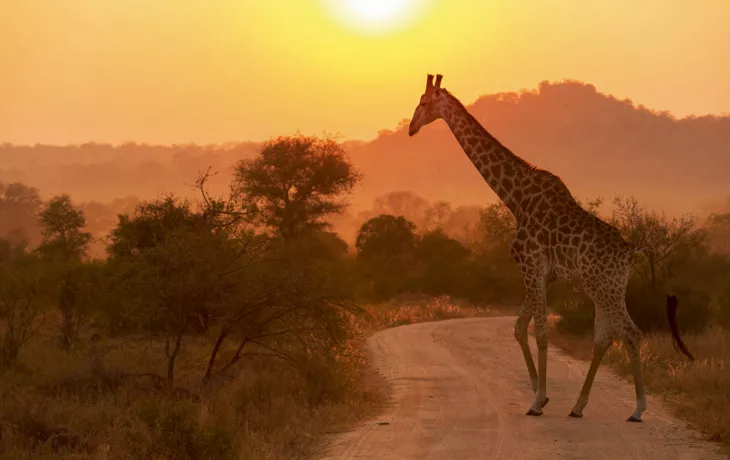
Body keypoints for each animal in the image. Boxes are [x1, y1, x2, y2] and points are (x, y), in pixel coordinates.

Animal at [407, 74, 694, 421]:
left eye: (423, 102)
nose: (411, 128)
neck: (516, 199)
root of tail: (629, 251)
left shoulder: (530, 264)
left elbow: (540, 332)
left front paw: (536, 401)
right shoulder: (545, 273)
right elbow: (520, 327)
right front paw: (540, 395)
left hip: (605, 288)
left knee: (631, 333)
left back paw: (637, 409)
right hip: (606, 287)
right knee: (604, 337)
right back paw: (578, 406)